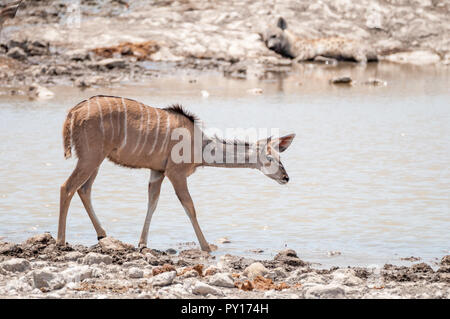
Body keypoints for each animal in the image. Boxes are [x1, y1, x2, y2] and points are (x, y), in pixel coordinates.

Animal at [57, 95, 296, 252]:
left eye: (281, 156)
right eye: (270, 158)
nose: (286, 178)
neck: (200, 144)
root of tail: (73, 112)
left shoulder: (157, 172)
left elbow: (152, 203)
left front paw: (142, 243)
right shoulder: (176, 173)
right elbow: (190, 207)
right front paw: (207, 246)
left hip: (95, 160)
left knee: (83, 189)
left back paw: (102, 234)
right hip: (91, 158)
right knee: (67, 187)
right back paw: (60, 240)